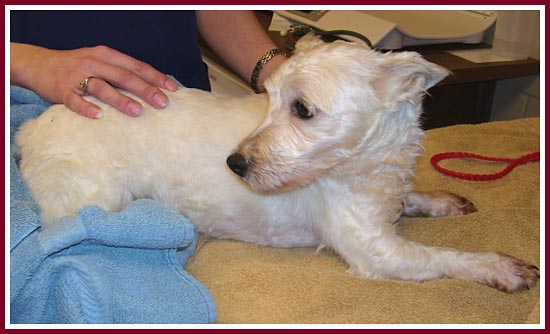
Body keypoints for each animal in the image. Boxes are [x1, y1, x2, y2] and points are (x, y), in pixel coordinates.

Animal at [16, 34, 540, 292]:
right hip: (96, 198)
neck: (361, 167)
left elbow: (410, 198)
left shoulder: (385, 202)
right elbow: (443, 257)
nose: (235, 163)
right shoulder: (376, 251)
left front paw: (440, 201)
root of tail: (32, 128)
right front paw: (500, 268)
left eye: (302, 109)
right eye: (267, 99)